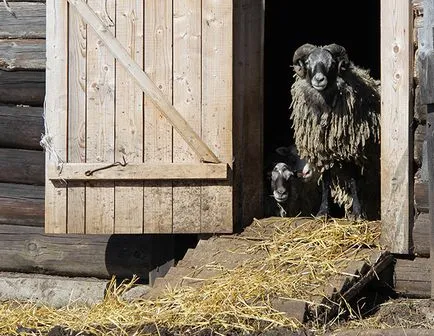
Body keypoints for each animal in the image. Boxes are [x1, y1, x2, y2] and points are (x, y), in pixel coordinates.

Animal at [292, 42, 380, 220]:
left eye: (332, 63)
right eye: (308, 62)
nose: (319, 79)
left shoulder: (353, 150)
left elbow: (353, 181)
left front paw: (358, 213)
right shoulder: (323, 152)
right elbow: (326, 182)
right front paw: (323, 212)